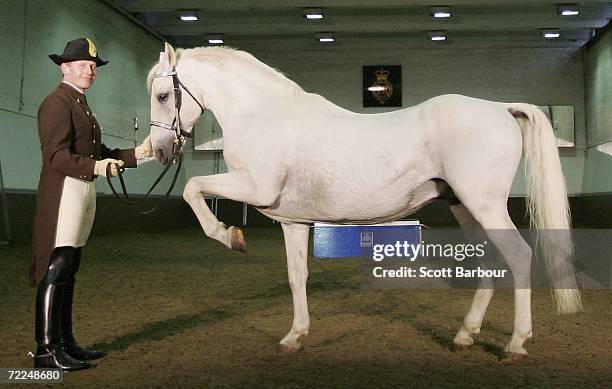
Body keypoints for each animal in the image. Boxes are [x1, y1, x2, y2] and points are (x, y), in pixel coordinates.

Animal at [146, 43, 580, 360]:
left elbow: (192, 188)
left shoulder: (254, 187)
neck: (264, 117)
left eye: (164, 95)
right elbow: (297, 276)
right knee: (488, 261)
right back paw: (465, 334)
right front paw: (294, 336)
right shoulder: (292, 221)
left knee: (519, 257)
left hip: (484, 204)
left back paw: (515, 344)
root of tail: (499, 108)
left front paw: (230, 236)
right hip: (465, 206)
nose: (162, 150)